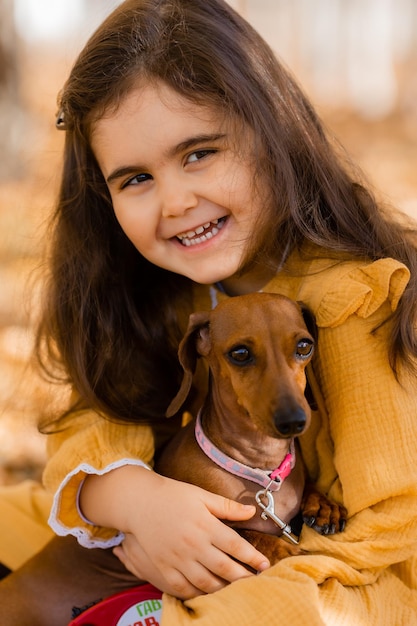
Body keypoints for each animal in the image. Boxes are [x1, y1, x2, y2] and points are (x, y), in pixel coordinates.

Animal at [156, 292, 344, 560]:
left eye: (304, 346)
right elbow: (246, 534)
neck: (261, 466)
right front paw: (283, 549)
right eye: (240, 353)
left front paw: (323, 505)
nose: (293, 421)